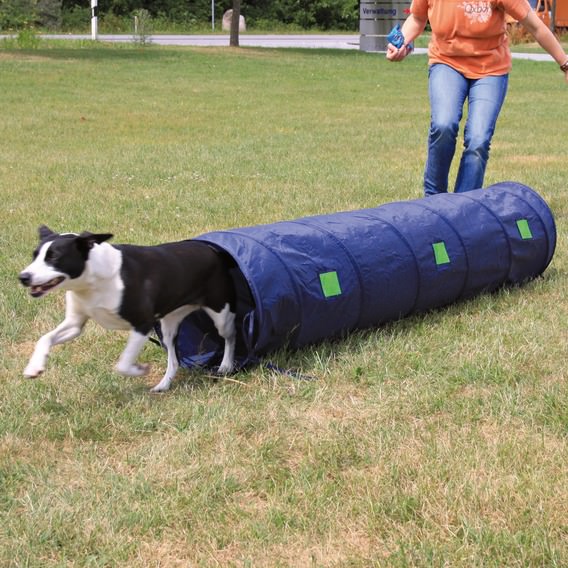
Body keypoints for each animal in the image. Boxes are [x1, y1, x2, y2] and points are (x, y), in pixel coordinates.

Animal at [17, 224, 235, 392]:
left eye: (54, 257)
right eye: (34, 256)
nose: (23, 277)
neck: (93, 280)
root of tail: (213, 251)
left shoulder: (143, 323)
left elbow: (123, 364)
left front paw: (139, 370)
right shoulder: (75, 323)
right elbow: (44, 338)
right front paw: (34, 367)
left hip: (220, 314)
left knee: (230, 336)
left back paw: (225, 365)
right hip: (169, 324)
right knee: (173, 360)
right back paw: (163, 385)